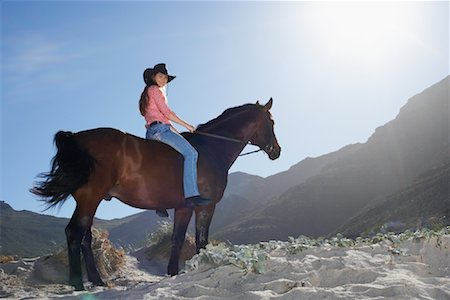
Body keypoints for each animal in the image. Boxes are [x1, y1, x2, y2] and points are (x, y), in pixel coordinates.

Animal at [29, 98, 280, 290]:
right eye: (271, 122)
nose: (277, 151)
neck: (210, 149)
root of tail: (76, 137)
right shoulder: (205, 206)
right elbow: (202, 240)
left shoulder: (184, 207)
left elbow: (178, 239)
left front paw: (173, 272)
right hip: (90, 198)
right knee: (74, 233)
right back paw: (78, 284)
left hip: (89, 200)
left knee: (85, 238)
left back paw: (97, 281)